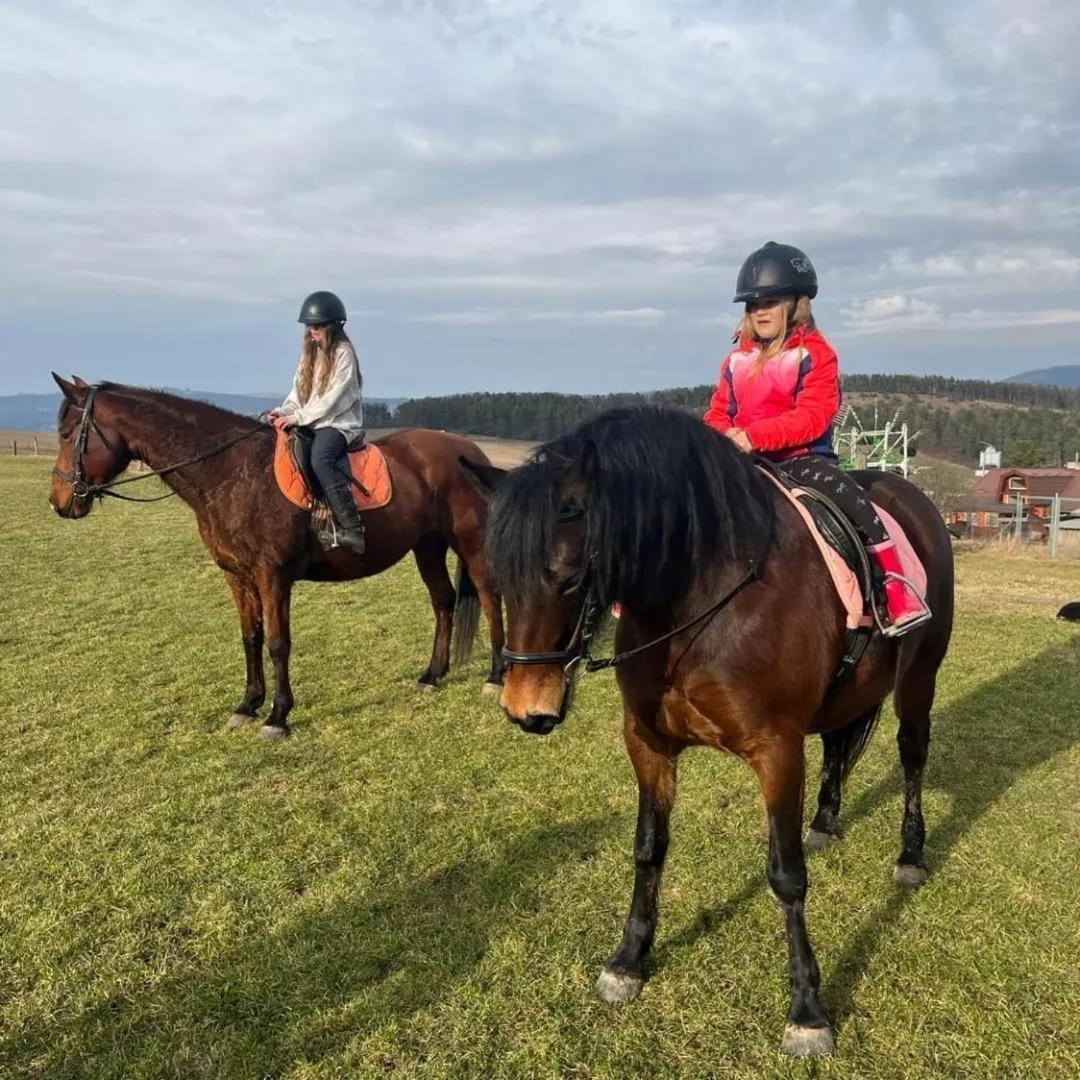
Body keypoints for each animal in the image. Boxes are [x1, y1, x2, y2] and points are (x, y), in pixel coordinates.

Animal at [48, 375, 503, 738]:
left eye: (69, 433)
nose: (58, 502)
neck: (231, 471)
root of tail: (471, 452)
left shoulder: (273, 576)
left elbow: (278, 643)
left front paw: (278, 716)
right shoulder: (237, 575)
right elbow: (251, 638)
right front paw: (248, 705)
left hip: (471, 546)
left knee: (491, 601)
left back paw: (496, 676)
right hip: (427, 546)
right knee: (443, 601)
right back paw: (433, 675)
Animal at [464, 403, 954, 1054]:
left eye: (570, 576)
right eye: (497, 577)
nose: (526, 708)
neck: (701, 602)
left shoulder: (778, 751)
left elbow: (786, 875)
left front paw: (807, 1010)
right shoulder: (647, 742)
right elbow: (648, 848)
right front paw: (628, 961)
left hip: (918, 680)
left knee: (913, 753)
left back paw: (911, 854)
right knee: (837, 743)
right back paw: (825, 823)